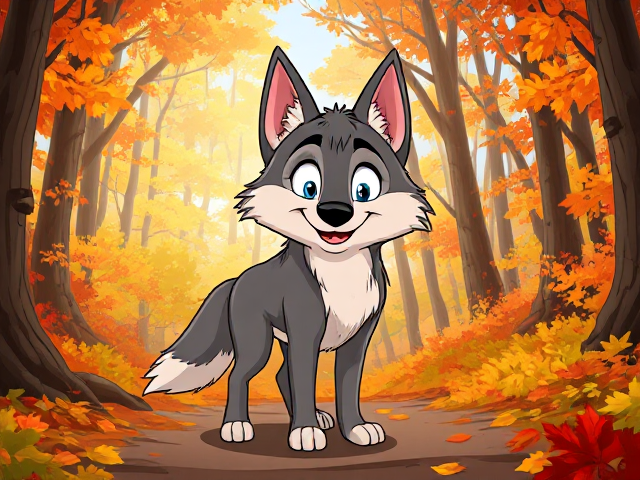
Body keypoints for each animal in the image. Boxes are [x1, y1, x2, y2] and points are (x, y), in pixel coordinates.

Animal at [143, 46, 434, 452]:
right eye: (308, 186)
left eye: (364, 188)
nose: (334, 212)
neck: (340, 272)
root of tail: (236, 281)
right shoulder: (304, 330)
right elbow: (305, 380)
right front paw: (305, 431)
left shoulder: (358, 338)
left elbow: (347, 388)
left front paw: (354, 428)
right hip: (258, 342)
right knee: (240, 375)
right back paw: (237, 426)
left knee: (281, 375)